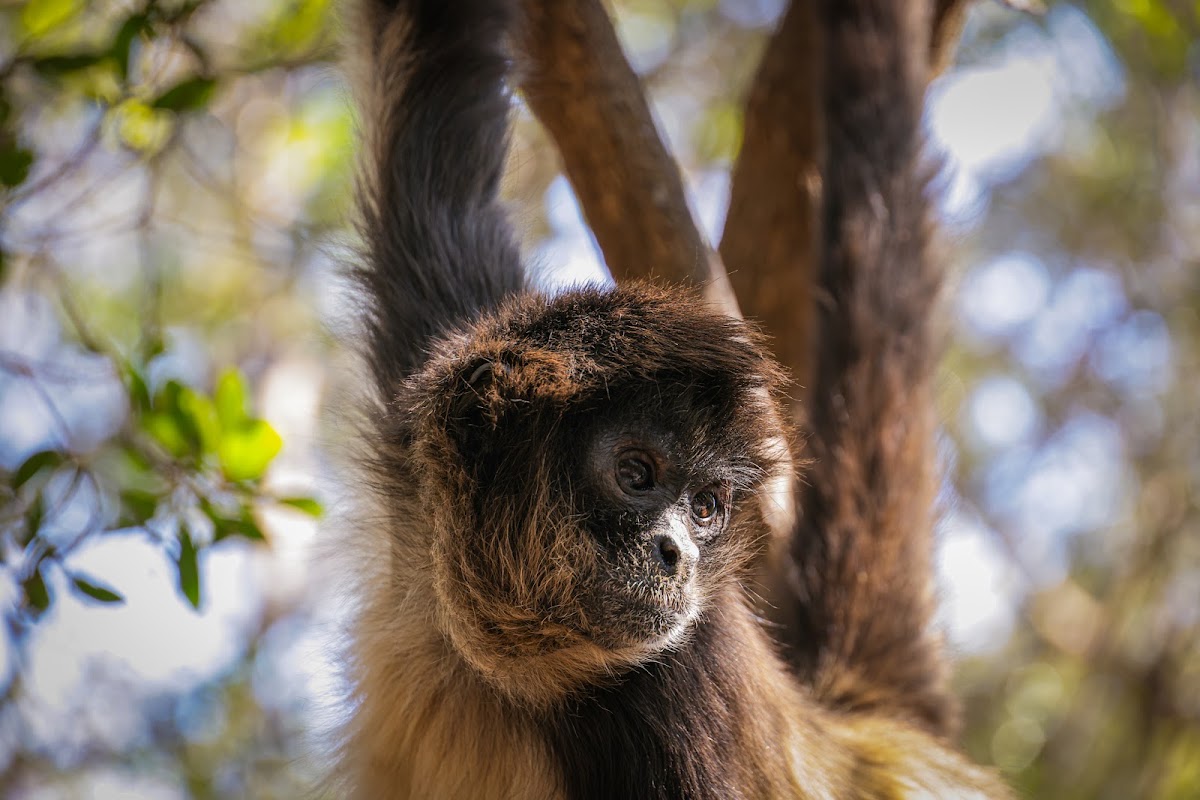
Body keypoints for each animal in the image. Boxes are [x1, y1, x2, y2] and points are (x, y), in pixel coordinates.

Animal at [329, 0, 1013, 797]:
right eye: (635, 474)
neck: (488, 657)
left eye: (707, 508)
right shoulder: (433, 378)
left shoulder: (670, 687)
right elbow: (439, 73)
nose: (676, 555)